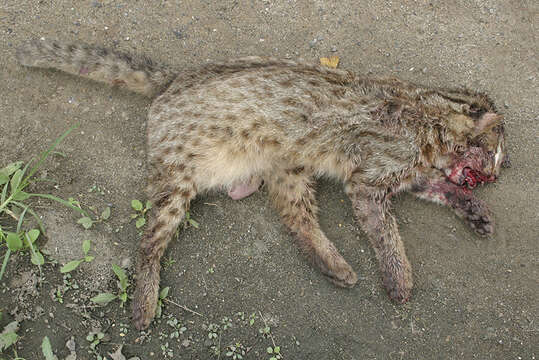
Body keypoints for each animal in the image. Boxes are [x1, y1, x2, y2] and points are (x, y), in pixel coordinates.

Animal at [14, 38, 508, 330]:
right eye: (497, 150)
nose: (496, 174)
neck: (429, 117)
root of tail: (175, 77)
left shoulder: (407, 176)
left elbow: (444, 189)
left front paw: (474, 210)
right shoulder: (369, 184)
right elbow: (388, 236)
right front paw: (399, 277)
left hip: (290, 168)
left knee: (295, 218)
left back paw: (333, 264)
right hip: (178, 183)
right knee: (148, 244)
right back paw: (144, 301)